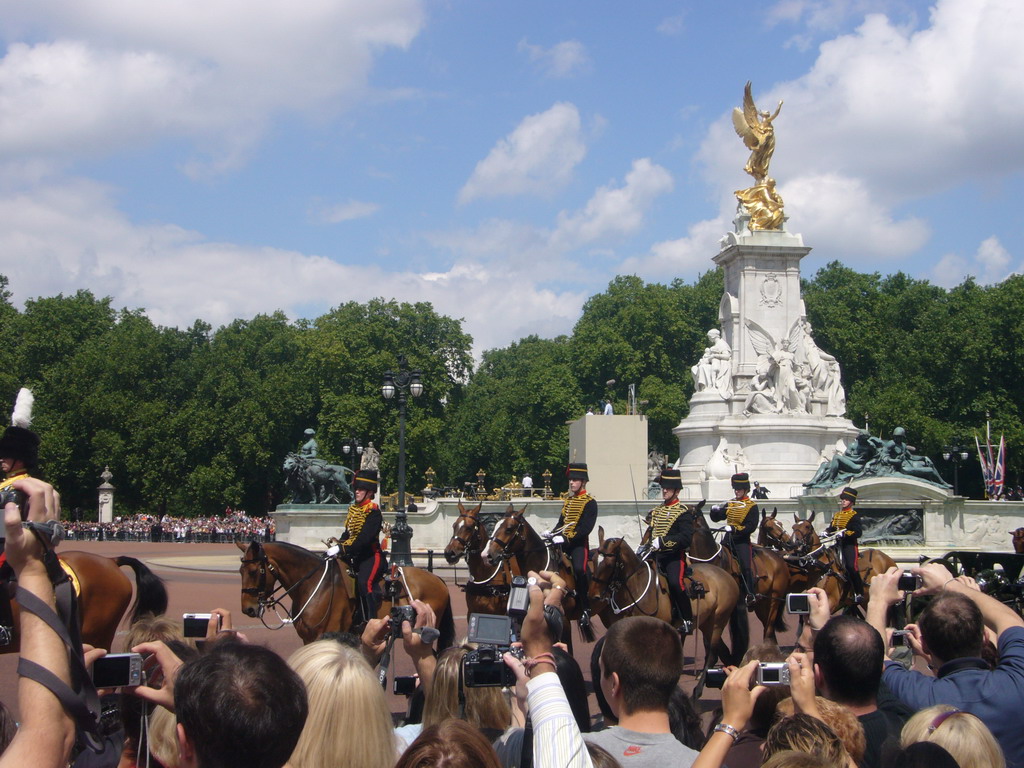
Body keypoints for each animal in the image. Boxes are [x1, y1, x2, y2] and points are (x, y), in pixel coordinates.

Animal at [237, 540, 454, 651]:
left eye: (254, 571)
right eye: (240, 571)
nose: (248, 608)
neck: (315, 584)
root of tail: (438, 579)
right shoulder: (308, 639)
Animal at [589, 532, 741, 671]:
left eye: (609, 564)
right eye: (595, 561)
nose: (593, 595)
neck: (638, 587)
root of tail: (727, 575)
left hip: (717, 621)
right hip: (706, 623)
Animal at [688, 501, 790, 647]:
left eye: (780, 524)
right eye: (770, 527)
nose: (790, 541)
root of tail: (778, 557)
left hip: (774, 599)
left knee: (769, 629)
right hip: (762, 603)